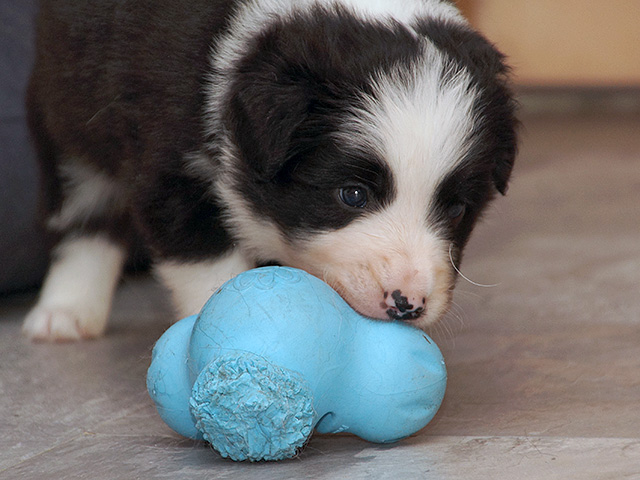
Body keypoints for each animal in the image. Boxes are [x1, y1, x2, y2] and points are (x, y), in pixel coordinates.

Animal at [23, 0, 517, 341]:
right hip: (67, 122)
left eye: (456, 210)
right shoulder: (173, 177)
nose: (407, 304)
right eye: (352, 194)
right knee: (85, 217)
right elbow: (211, 272)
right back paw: (65, 313)